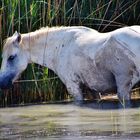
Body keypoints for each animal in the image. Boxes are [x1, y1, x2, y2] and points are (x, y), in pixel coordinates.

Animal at [0, 25, 140, 106]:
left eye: (11, 57)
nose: (2, 83)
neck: (60, 47)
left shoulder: (73, 86)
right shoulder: (92, 88)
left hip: (123, 87)